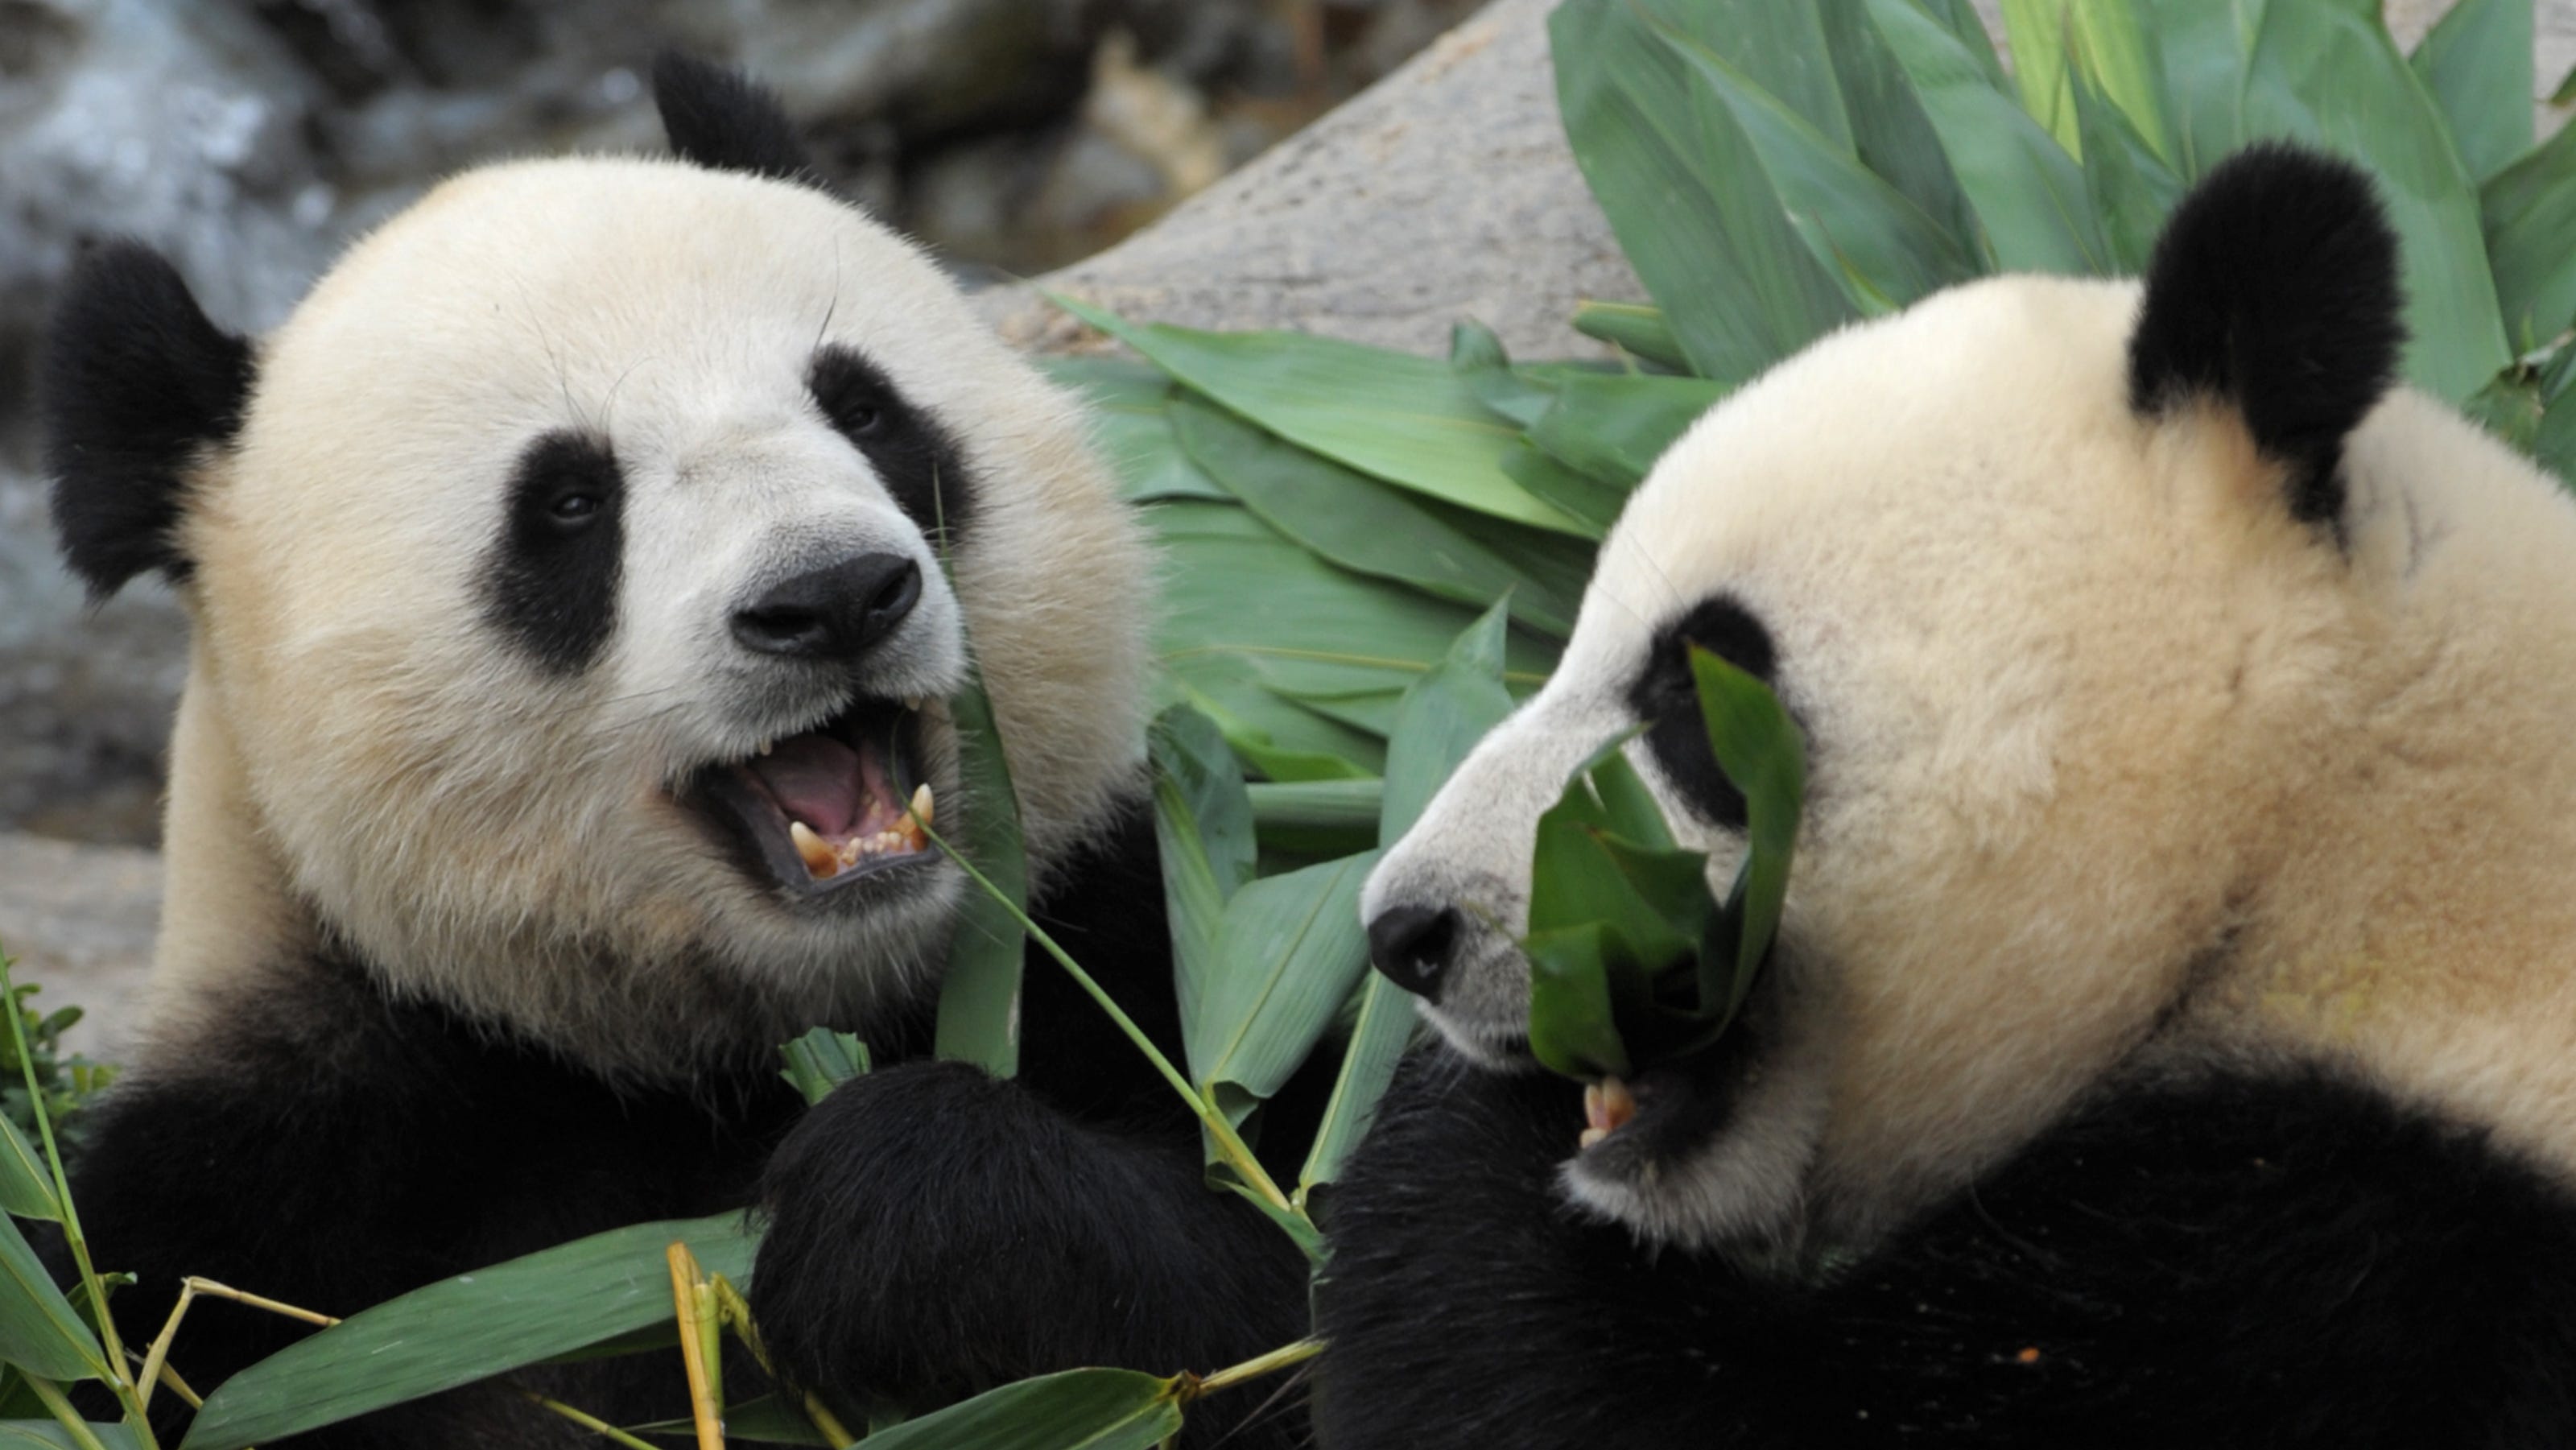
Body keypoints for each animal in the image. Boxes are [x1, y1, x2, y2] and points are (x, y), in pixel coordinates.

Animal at [45, 51, 1308, 1442]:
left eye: (864, 407)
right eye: (569, 502)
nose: (835, 595)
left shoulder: (1130, 941)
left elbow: (1286, 1286)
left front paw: (911, 1210)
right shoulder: (262, 1190)